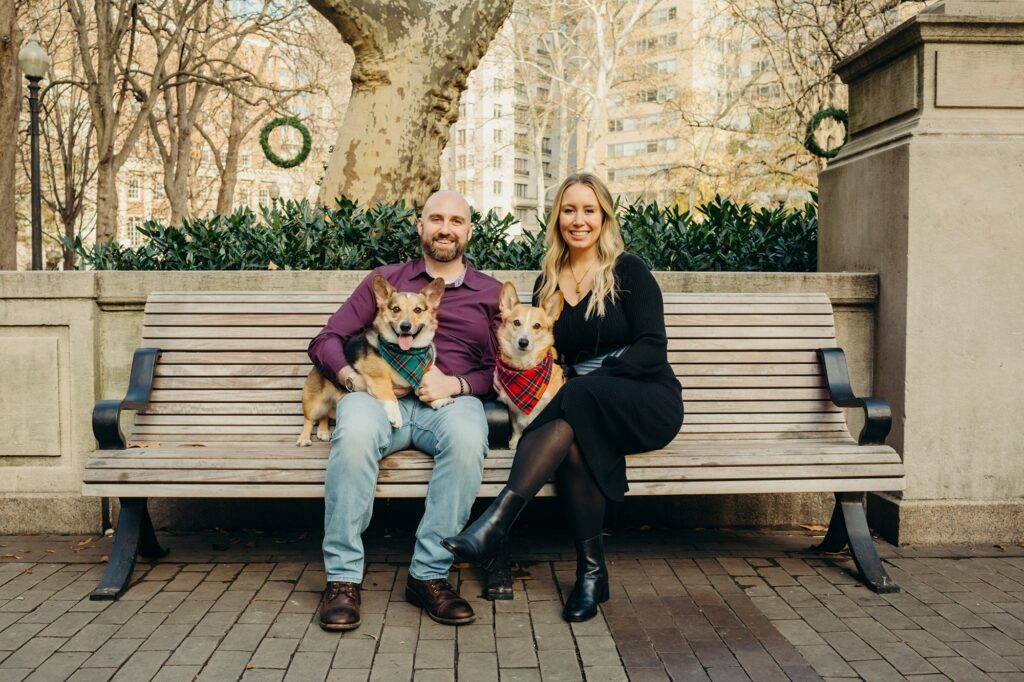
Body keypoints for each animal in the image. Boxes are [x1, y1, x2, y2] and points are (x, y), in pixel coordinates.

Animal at [299, 274, 452, 444]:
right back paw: (304, 438)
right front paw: (395, 415)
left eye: (418, 310)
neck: (407, 353)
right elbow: (390, 396)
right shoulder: (378, 378)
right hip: (315, 403)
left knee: (325, 415)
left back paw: (323, 431)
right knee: (309, 419)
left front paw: (438, 400)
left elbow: (421, 387)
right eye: (396, 309)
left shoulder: (420, 374)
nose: (405, 326)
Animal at [491, 278, 565, 448]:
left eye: (537, 326)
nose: (523, 342)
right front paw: (514, 442)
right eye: (516, 323)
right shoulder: (512, 409)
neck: (524, 368)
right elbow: (516, 427)